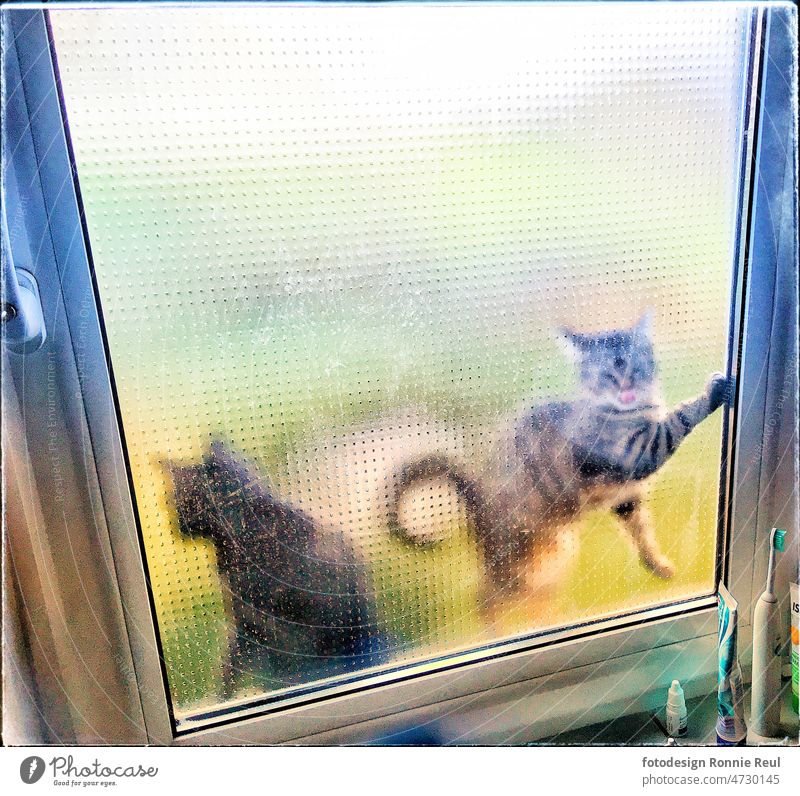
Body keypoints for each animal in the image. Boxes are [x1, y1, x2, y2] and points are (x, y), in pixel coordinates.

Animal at [388, 314, 732, 624]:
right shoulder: (640, 451)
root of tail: (477, 495)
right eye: (607, 375)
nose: (627, 388)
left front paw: (658, 565)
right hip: (518, 561)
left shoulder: (626, 498)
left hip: (552, 559)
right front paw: (714, 390)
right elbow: (680, 418)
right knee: (487, 597)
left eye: (637, 367)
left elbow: (641, 531)